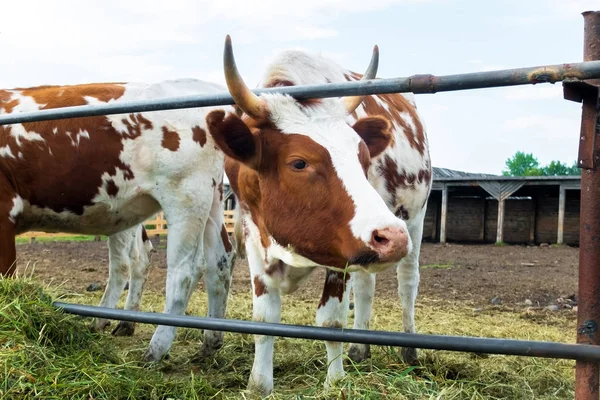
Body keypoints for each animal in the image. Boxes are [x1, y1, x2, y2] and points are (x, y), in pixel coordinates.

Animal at [0, 79, 237, 360]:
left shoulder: (4, 211)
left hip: (186, 196)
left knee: (183, 271)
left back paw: (155, 350)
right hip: (211, 201)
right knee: (219, 261)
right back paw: (209, 342)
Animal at [209, 35, 428, 396]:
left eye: (363, 158)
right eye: (299, 162)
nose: (392, 238)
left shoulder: (340, 252)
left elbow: (332, 319)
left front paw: (335, 381)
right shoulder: (255, 236)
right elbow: (265, 318)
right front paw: (259, 383)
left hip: (414, 218)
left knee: (407, 283)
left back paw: (409, 350)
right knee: (366, 287)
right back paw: (360, 349)